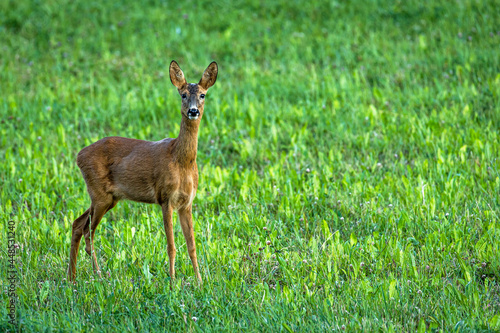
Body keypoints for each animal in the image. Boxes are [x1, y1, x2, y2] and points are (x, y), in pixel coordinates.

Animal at [67, 60, 218, 282]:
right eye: (182, 94)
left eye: (202, 95)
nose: (193, 111)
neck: (181, 162)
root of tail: (79, 155)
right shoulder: (165, 198)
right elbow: (171, 246)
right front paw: (172, 282)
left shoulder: (186, 203)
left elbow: (192, 246)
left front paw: (199, 282)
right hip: (99, 194)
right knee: (88, 232)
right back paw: (98, 275)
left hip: (109, 198)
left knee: (77, 224)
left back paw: (71, 277)